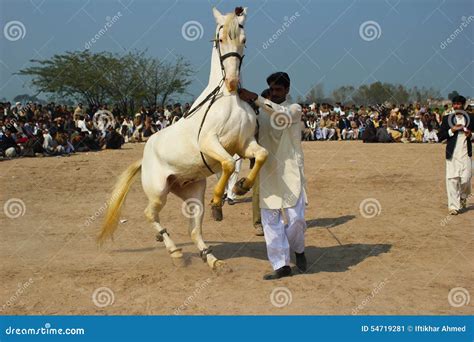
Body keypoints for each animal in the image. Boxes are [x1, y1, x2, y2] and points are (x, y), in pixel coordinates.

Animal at [97, 6, 266, 272]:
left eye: (244, 39)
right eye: (220, 39)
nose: (232, 83)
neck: (227, 99)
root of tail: (144, 159)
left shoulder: (245, 144)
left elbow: (261, 155)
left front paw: (241, 186)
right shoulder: (210, 143)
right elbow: (228, 164)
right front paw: (218, 201)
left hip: (193, 194)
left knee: (194, 230)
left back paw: (212, 260)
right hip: (158, 192)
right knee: (150, 214)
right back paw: (175, 251)